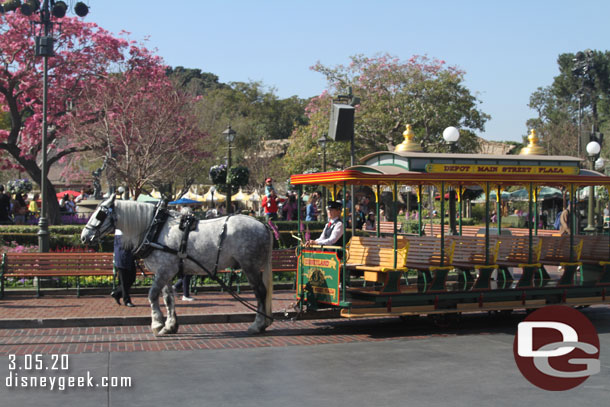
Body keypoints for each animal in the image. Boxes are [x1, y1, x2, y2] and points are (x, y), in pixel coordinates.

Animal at [81, 196, 274, 336]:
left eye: (99, 214)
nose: (84, 236)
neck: (155, 229)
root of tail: (263, 225)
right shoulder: (165, 271)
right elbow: (168, 298)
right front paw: (170, 326)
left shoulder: (164, 271)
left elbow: (152, 295)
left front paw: (157, 323)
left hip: (249, 266)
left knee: (260, 292)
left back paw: (258, 325)